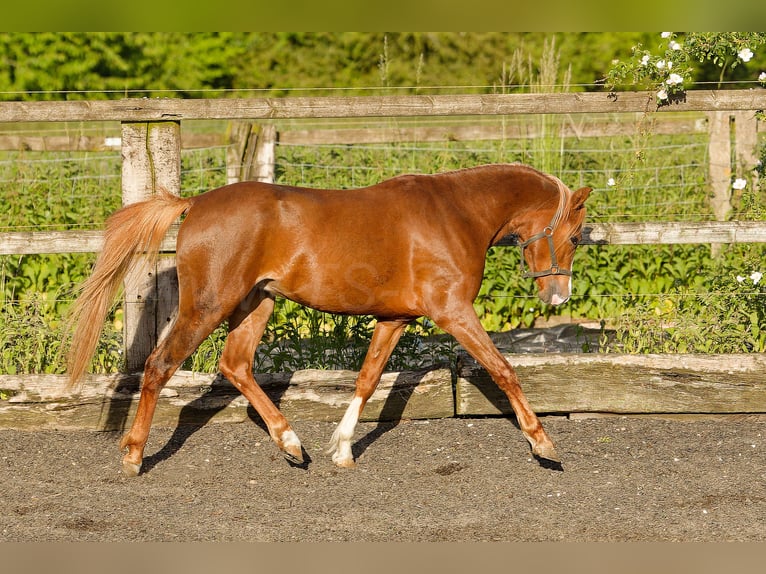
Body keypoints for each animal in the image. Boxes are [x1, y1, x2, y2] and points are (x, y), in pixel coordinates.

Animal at [66, 163, 592, 476]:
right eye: (573, 235)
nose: (558, 296)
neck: (456, 214)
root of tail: (194, 203)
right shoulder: (454, 311)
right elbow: (503, 370)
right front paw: (544, 445)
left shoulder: (394, 318)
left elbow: (368, 379)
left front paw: (341, 449)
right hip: (209, 305)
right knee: (159, 366)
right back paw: (134, 456)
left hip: (256, 303)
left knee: (236, 366)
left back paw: (292, 444)